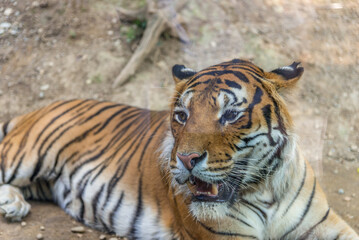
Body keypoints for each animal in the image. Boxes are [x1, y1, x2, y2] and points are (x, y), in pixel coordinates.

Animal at [0, 58, 358, 240]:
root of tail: (44, 106)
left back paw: (13, 204)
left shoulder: (326, 225)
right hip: (27, 156)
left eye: (230, 115)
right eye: (182, 115)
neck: (264, 191)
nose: (186, 159)